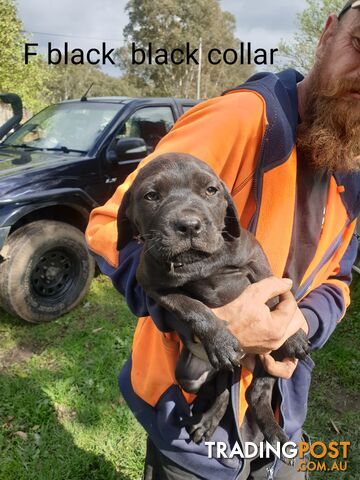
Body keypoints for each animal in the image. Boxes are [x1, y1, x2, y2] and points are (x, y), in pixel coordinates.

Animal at [116, 152, 310, 456]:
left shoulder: (256, 261)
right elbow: (193, 308)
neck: (200, 263)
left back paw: (274, 433)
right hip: (191, 376)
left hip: (271, 358)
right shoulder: (156, 287)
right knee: (223, 390)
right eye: (151, 195)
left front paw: (294, 335)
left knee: (256, 393)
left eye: (210, 190)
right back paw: (208, 421)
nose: (189, 225)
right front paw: (219, 340)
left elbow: (275, 296)